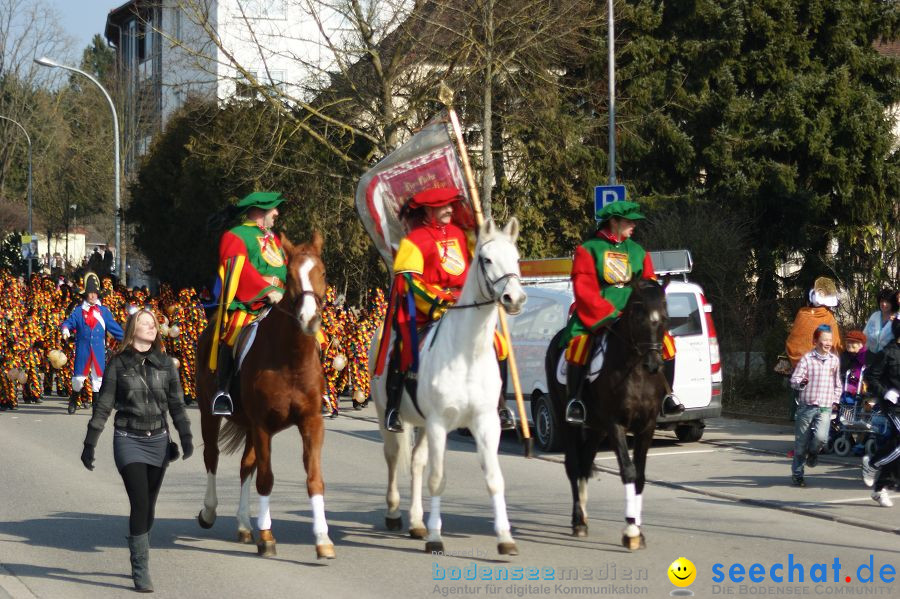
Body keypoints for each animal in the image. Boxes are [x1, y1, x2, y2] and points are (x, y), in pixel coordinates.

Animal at [193, 232, 334, 560]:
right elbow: (266, 479)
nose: (309, 318)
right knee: (212, 456)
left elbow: (314, 478)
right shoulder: (262, 426)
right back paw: (209, 511)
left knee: (246, 465)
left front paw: (322, 539)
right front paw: (267, 535)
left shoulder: (311, 422)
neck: (291, 359)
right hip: (209, 413)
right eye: (290, 276)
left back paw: (245, 524)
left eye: (322, 272)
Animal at [370, 218, 528, 556]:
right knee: (393, 457)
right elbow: (437, 479)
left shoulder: (485, 423)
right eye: (486, 259)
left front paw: (505, 538)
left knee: (416, 462)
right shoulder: (439, 423)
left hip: (422, 424)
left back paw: (417, 522)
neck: (467, 352)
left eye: (516, 257)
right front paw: (435, 538)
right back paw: (395, 513)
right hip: (386, 413)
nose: (515, 299)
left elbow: (494, 478)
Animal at [540, 278, 668, 552]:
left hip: (596, 428)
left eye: (665, 317)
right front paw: (631, 531)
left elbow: (640, 476)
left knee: (585, 462)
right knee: (574, 465)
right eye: (639, 316)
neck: (636, 372)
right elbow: (628, 471)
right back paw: (578, 521)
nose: (654, 364)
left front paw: (637, 530)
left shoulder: (647, 426)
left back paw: (584, 516)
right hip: (566, 420)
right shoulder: (615, 424)